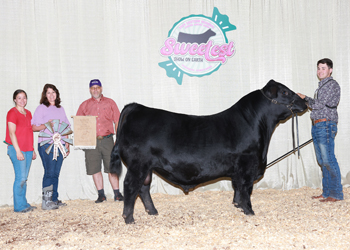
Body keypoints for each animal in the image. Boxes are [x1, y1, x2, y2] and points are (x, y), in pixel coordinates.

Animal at [110, 79, 308, 224]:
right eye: (285, 92)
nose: (304, 100)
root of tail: (136, 107)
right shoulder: (247, 165)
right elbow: (246, 188)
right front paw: (249, 211)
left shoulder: (237, 169)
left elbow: (237, 188)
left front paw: (237, 206)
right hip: (138, 164)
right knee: (131, 186)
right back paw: (129, 218)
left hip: (147, 167)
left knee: (143, 188)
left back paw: (152, 212)